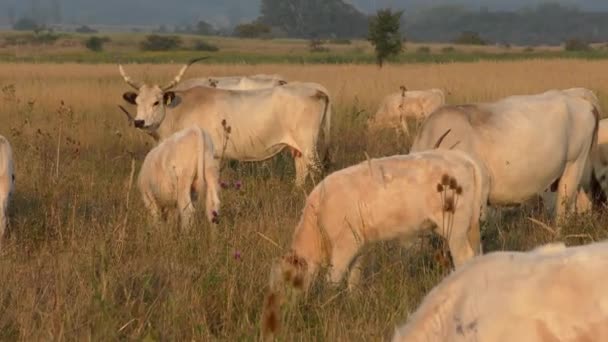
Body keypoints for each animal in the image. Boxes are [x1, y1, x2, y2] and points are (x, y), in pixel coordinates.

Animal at [262, 149, 490, 340]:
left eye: (284, 284)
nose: (279, 315)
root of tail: (463, 158)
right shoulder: (360, 245)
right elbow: (354, 276)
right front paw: (353, 302)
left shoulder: (345, 245)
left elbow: (333, 279)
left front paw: (327, 305)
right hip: (470, 229)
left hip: (456, 231)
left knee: (464, 258)